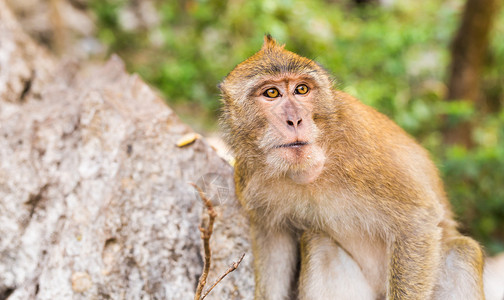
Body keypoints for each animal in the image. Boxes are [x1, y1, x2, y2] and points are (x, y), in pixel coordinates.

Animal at [219, 35, 486, 300]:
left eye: (301, 89)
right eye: (272, 93)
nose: (295, 120)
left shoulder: (363, 151)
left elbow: (418, 220)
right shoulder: (250, 178)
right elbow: (274, 239)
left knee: (463, 251)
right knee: (318, 241)